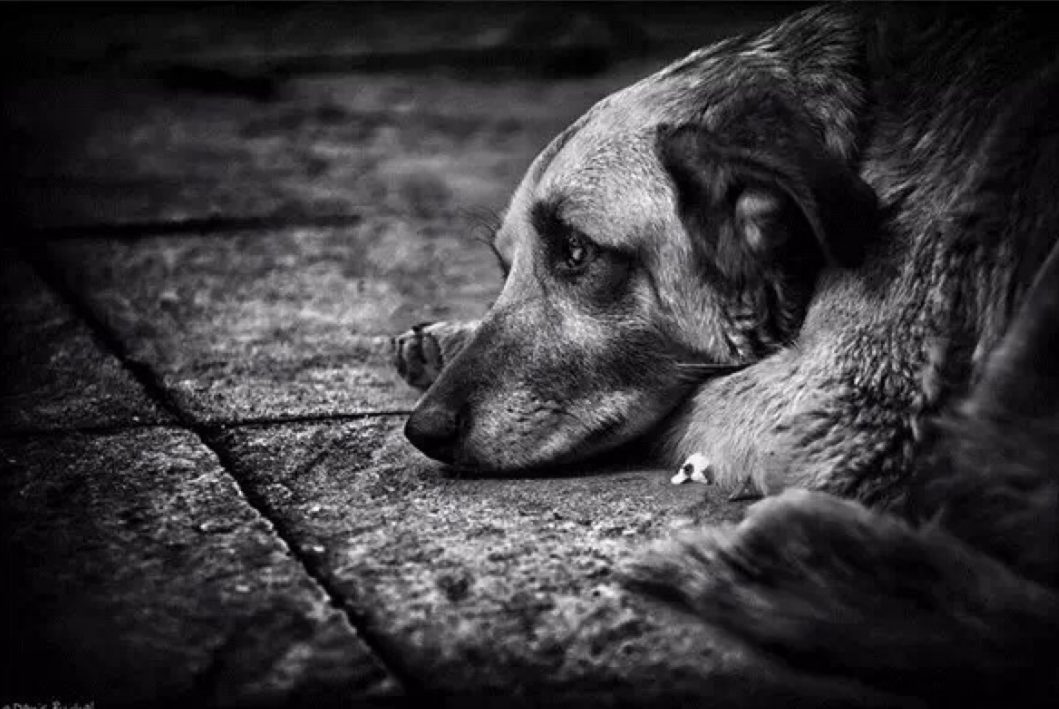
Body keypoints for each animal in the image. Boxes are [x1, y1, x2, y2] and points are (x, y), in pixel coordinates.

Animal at [393, 4, 1059, 703]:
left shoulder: (837, 405)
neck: (856, 132)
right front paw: (449, 336)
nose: (422, 430)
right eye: (505, 267)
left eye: (576, 250)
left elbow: (685, 398)